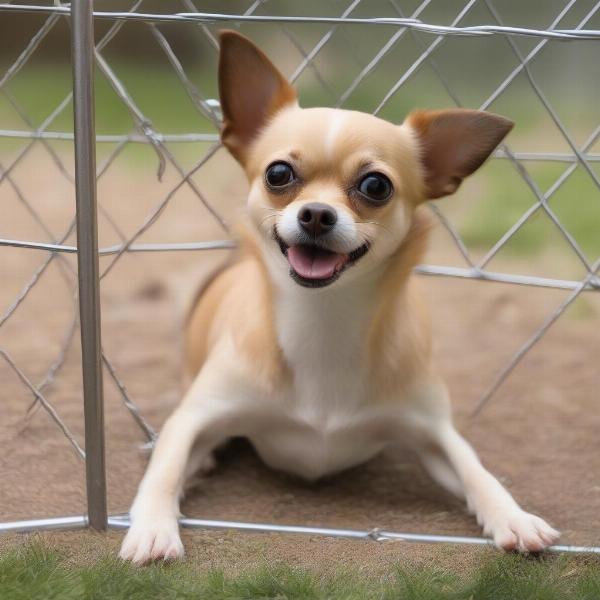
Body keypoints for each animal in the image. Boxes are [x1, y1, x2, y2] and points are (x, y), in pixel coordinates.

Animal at [119, 28, 560, 564]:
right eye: (278, 174)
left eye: (375, 185)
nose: (315, 214)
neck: (322, 320)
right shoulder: (194, 416)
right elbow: (166, 464)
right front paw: (153, 526)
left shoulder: (435, 432)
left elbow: (477, 470)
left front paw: (514, 516)